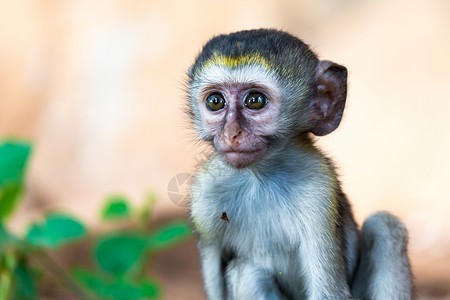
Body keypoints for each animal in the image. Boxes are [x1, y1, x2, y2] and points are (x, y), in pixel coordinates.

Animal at [186, 28, 414, 300]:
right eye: (215, 102)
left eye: (255, 100)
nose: (231, 133)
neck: (259, 178)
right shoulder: (204, 195)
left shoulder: (319, 191)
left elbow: (328, 293)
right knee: (247, 273)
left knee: (385, 226)